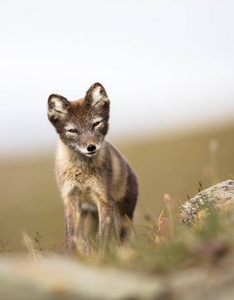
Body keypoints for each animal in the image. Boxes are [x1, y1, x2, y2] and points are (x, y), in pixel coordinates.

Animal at [48, 82, 138, 253]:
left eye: (96, 124)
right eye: (73, 130)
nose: (91, 147)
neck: (81, 172)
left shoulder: (104, 199)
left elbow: (104, 237)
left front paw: (105, 256)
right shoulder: (70, 200)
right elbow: (70, 237)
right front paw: (71, 256)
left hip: (122, 215)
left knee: (121, 238)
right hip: (87, 220)